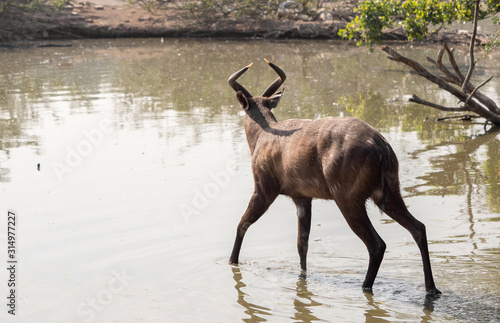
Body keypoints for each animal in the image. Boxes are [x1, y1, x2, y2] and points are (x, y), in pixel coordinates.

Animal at [227, 58, 442, 298]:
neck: (260, 137)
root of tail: (382, 148)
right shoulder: (302, 196)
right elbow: (302, 243)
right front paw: (302, 277)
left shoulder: (264, 187)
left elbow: (242, 223)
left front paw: (232, 261)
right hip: (389, 192)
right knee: (418, 228)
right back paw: (431, 289)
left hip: (347, 196)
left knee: (377, 244)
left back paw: (366, 287)